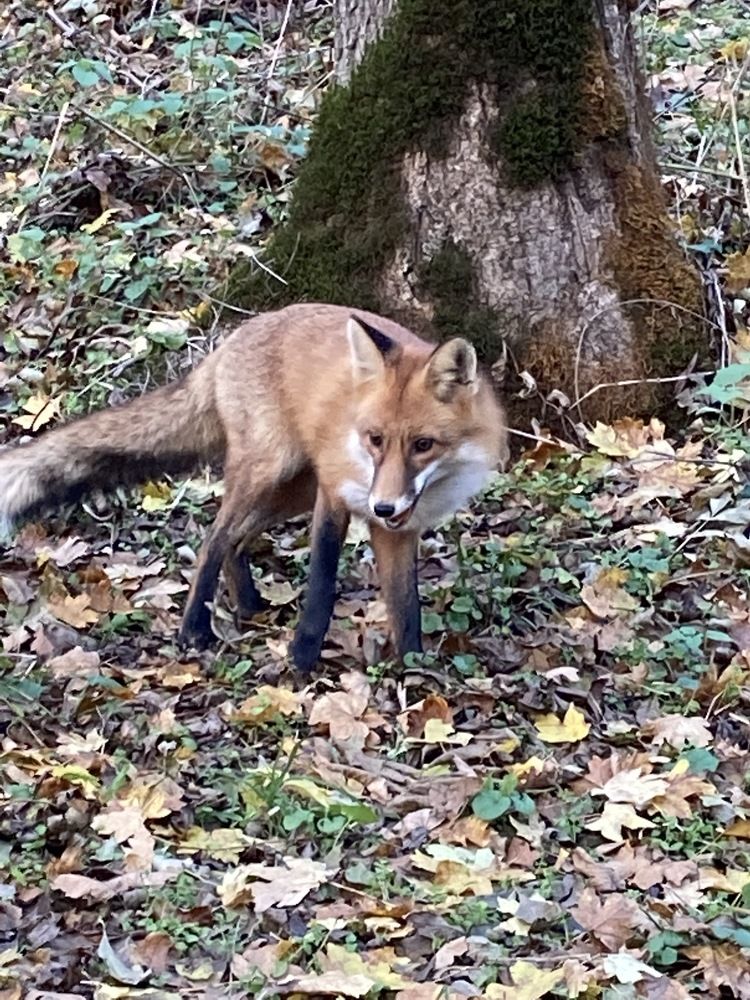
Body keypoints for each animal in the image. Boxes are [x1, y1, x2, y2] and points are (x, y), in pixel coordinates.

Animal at [0, 303, 507, 670]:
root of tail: (231, 341)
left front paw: (417, 672)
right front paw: (301, 660)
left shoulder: (398, 530)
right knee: (213, 539)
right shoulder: (334, 494)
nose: (382, 506)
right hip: (269, 470)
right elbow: (322, 583)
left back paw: (248, 606)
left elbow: (406, 606)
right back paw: (195, 630)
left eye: (423, 445)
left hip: (292, 487)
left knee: (236, 543)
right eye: (376, 439)